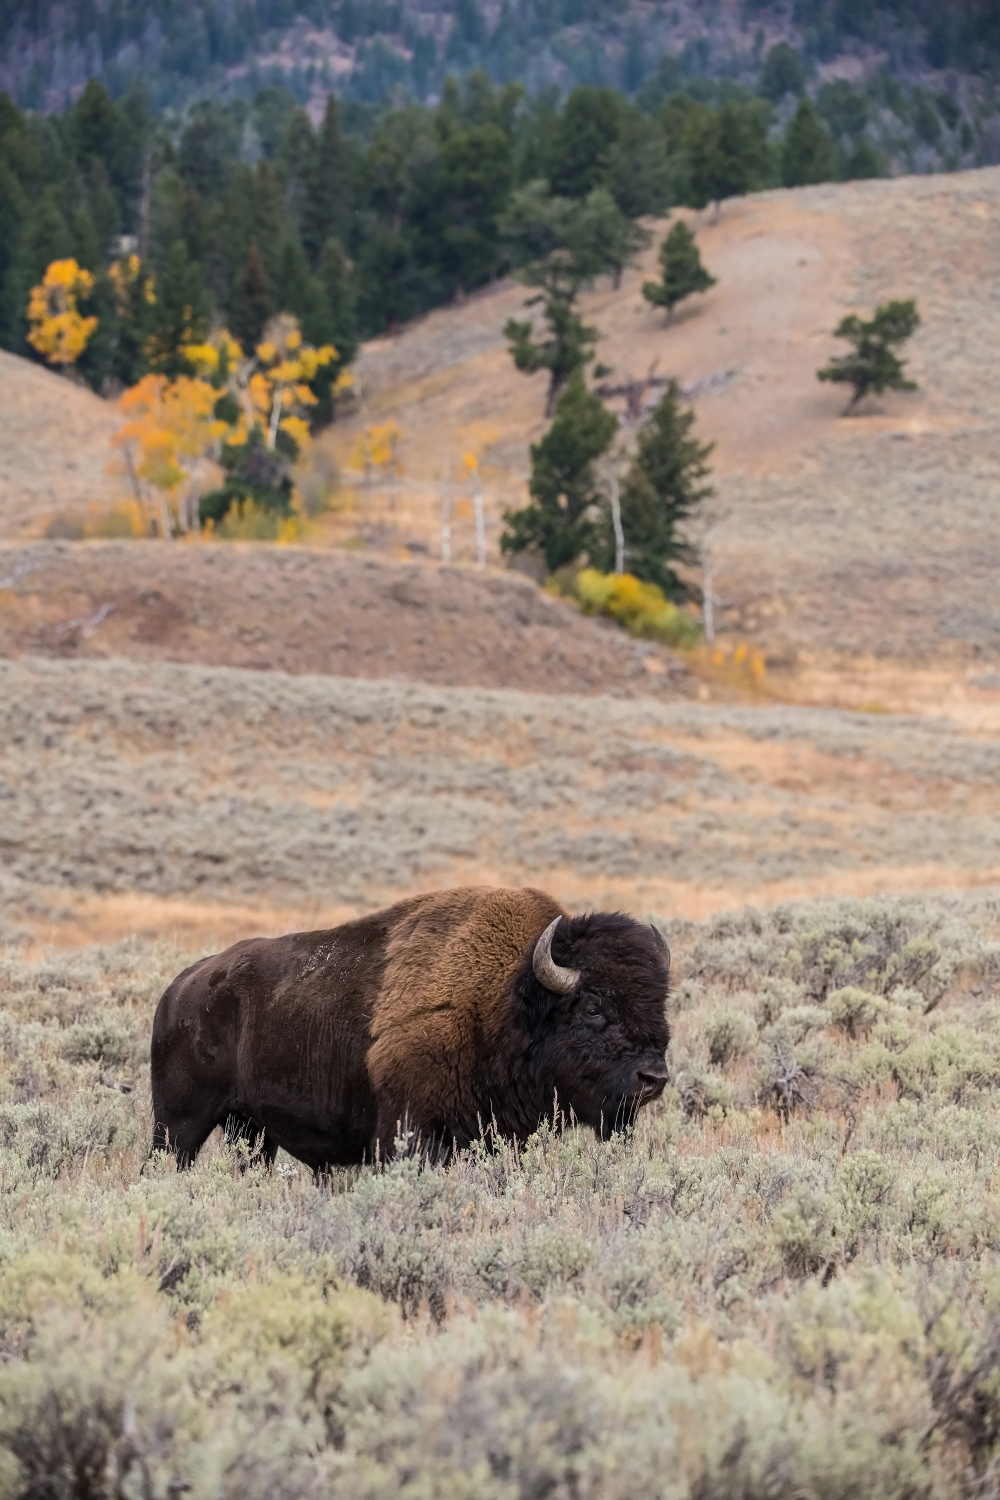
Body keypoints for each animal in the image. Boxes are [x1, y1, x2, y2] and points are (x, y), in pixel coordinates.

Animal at [150, 882, 671, 1164]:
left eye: (661, 1003)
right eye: (593, 1008)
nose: (654, 1078)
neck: (504, 999)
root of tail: (180, 988)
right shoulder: (411, 1133)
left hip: (251, 1130)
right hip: (178, 1124)